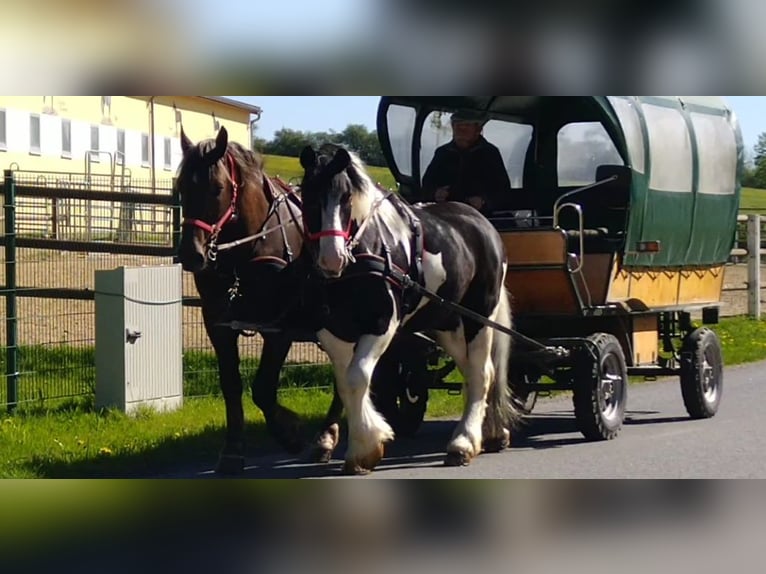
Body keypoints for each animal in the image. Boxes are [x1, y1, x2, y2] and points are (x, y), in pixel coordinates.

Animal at [177, 126, 314, 475]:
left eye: (217, 188)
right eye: (181, 186)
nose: (191, 254)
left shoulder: (280, 327)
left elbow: (263, 389)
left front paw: (291, 433)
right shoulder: (218, 323)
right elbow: (231, 384)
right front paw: (233, 450)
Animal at [299, 144, 521, 475]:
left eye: (346, 197)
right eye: (308, 193)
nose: (332, 258)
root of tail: (482, 223)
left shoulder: (382, 324)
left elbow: (357, 377)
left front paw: (365, 447)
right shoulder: (332, 330)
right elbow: (346, 383)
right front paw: (365, 444)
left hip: (480, 316)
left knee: (482, 373)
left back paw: (463, 444)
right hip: (447, 323)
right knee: (472, 372)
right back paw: (489, 434)